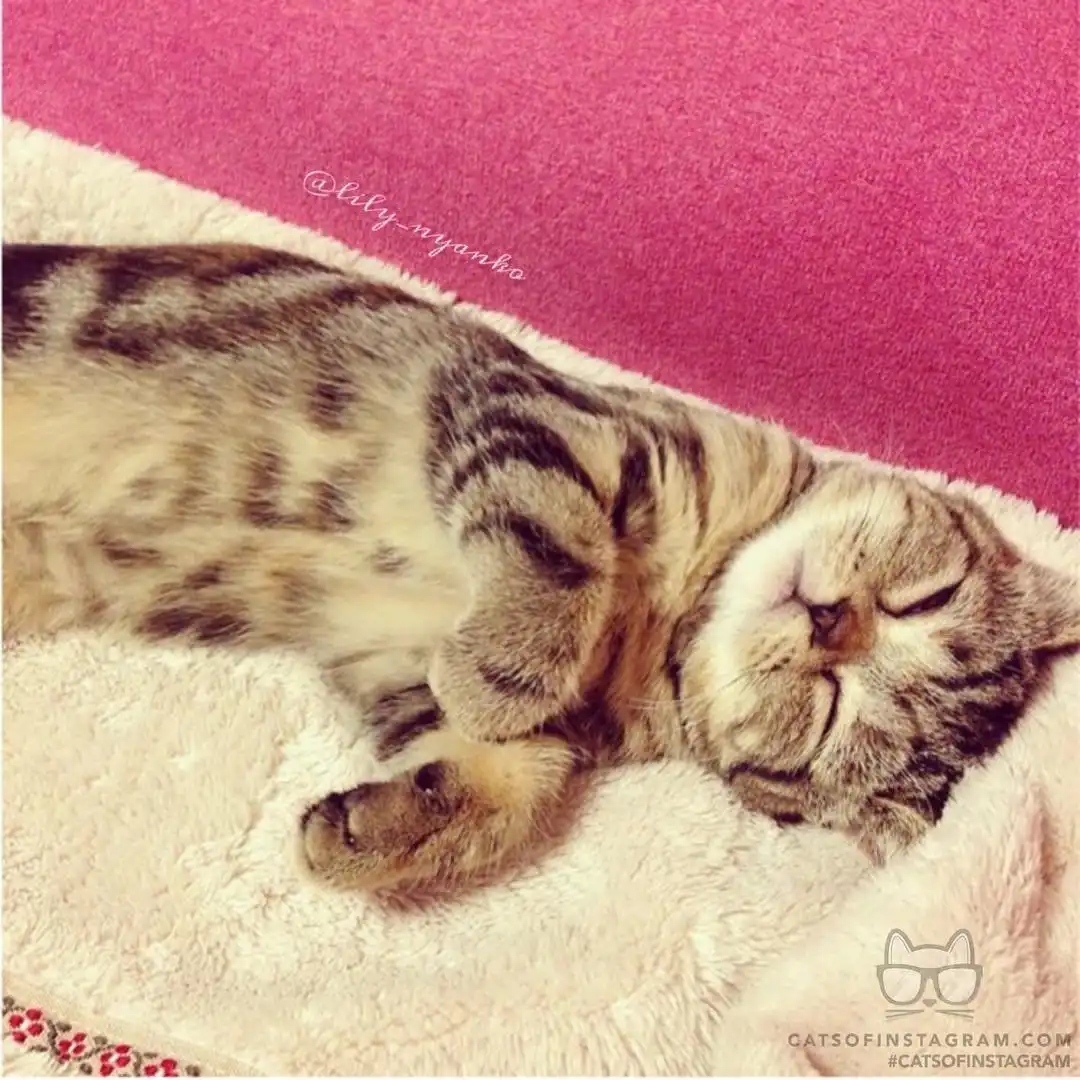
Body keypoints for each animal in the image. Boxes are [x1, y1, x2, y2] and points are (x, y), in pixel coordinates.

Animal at [4, 242, 1078, 895]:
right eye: (926, 596)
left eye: (826, 720)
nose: (830, 625)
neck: (675, 611)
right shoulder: (543, 420)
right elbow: (563, 549)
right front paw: (508, 666)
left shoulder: (385, 652)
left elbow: (520, 779)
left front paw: (385, 827)